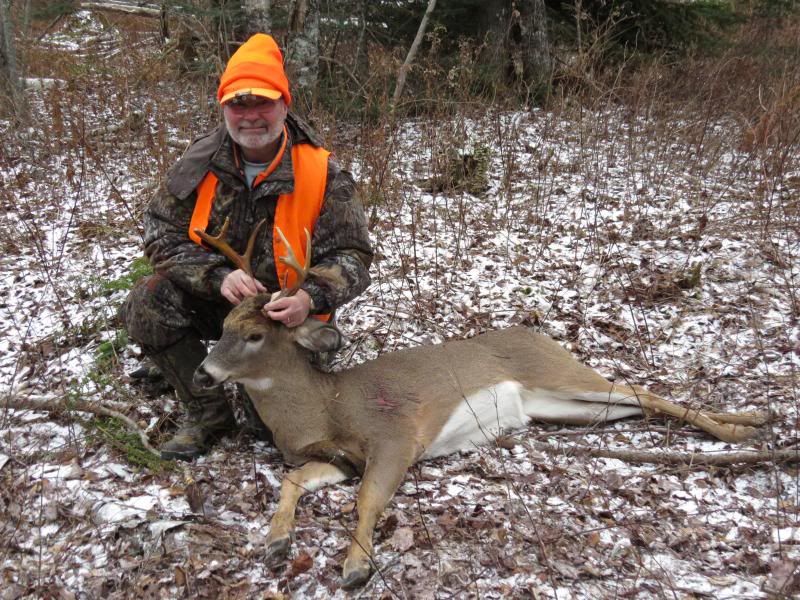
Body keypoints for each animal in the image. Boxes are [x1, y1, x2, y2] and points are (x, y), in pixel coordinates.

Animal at [192, 220, 767, 589]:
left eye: (253, 335)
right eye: (221, 328)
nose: (202, 373)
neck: (323, 407)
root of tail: (540, 333)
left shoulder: (394, 434)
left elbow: (368, 501)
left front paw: (355, 567)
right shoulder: (337, 459)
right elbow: (292, 481)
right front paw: (276, 541)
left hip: (558, 375)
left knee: (642, 391)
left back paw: (746, 430)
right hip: (560, 408)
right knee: (638, 406)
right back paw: (758, 419)